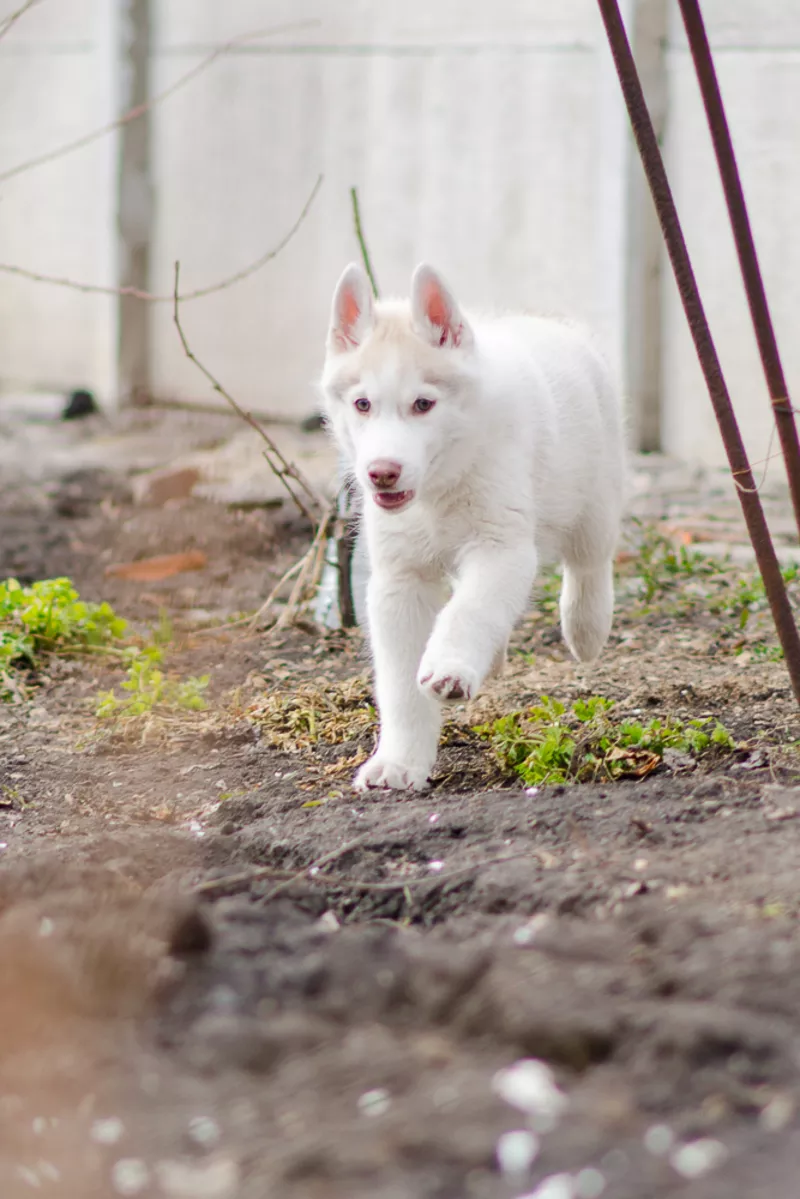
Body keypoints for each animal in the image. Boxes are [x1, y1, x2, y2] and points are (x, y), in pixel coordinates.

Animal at [319, 262, 623, 791]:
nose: (382, 473)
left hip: (593, 500)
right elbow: (400, 684)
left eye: (423, 404)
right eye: (362, 405)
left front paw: (450, 667)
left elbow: (470, 611)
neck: (440, 487)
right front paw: (400, 762)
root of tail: (549, 324)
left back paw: (586, 627)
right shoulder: (400, 579)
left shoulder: (501, 546)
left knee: (589, 563)